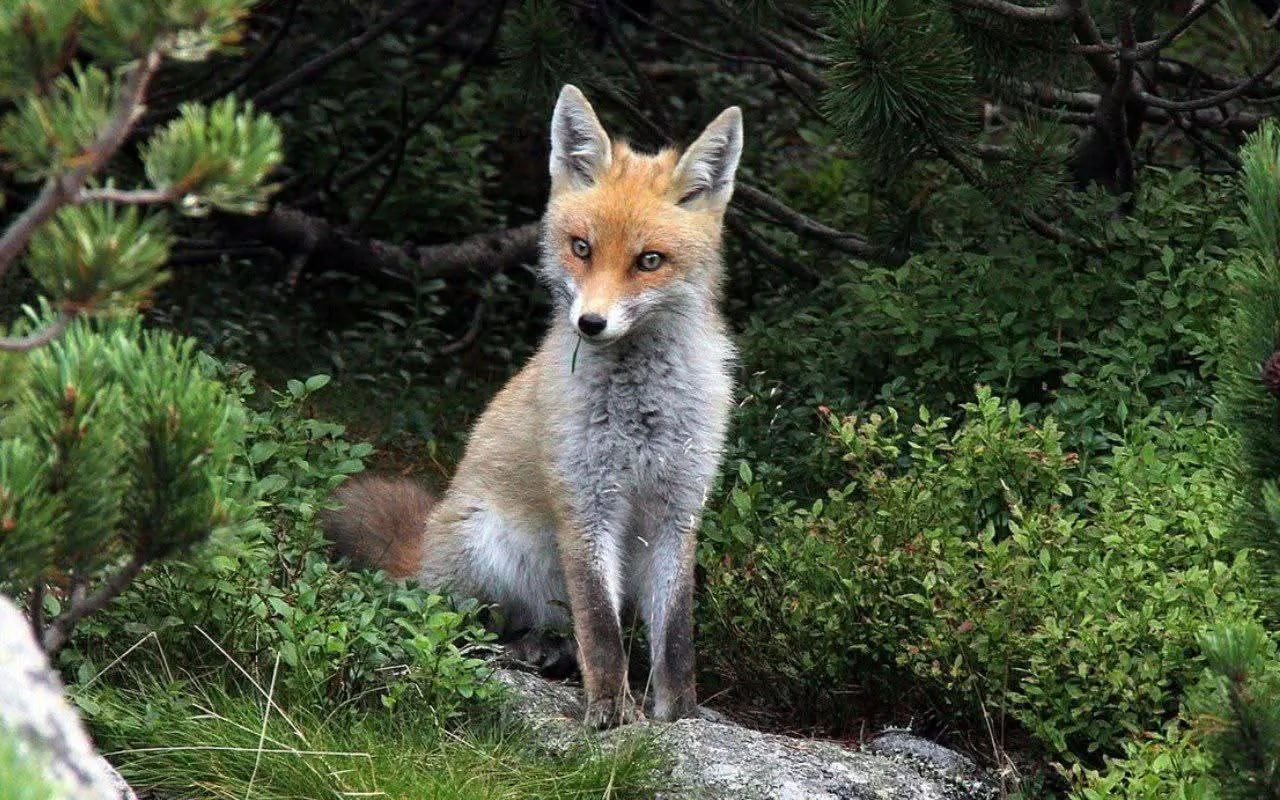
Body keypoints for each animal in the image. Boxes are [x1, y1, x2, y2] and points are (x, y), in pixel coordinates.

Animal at [321, 84, 743, 728]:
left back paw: (549, 651)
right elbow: (601, 629)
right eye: (581, 248)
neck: (642, 412)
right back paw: (521, 649)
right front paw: (610, 714)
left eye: (649, 260)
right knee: (460, 626)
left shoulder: (679, 507)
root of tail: (426, 547)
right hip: (486, 551)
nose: (590, 323)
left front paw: (680, 716)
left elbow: (675, 638)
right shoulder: (586, 502)